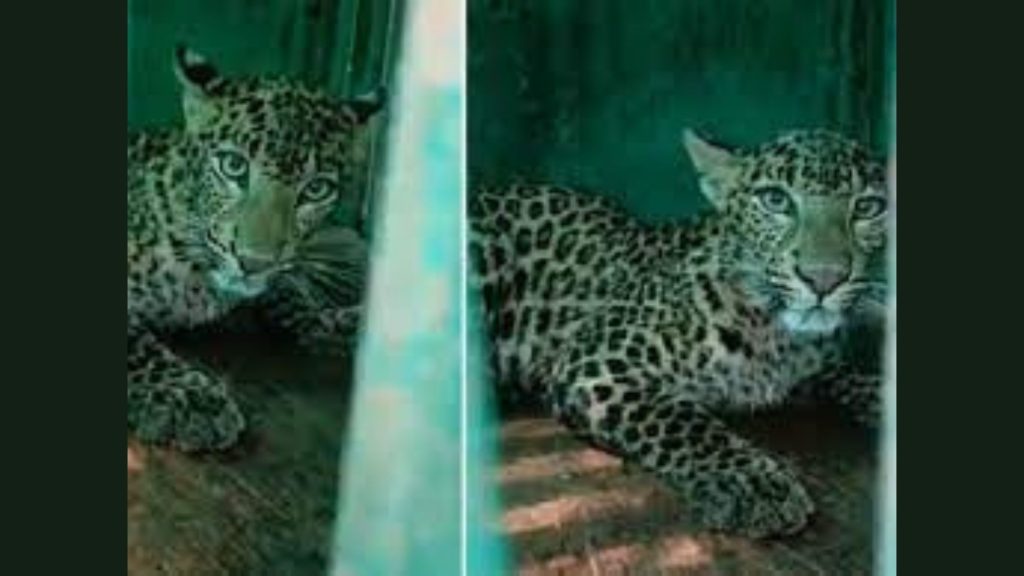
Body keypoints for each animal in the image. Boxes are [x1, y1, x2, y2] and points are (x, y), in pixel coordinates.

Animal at [128, 45, 386, 453]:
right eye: (233, 166)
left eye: (316, 189)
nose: (252, 262)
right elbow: (134, 344)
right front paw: (186, 398)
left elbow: (295, 299)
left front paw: (350, 324)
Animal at [469, 129, 890, 538]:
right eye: (776, 200)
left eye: (868, 207)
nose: (825, 278)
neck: (776, 333)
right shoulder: (597, 364)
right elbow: (682, 420)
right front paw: (752, 483)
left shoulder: (805, 370)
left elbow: (844, 375)